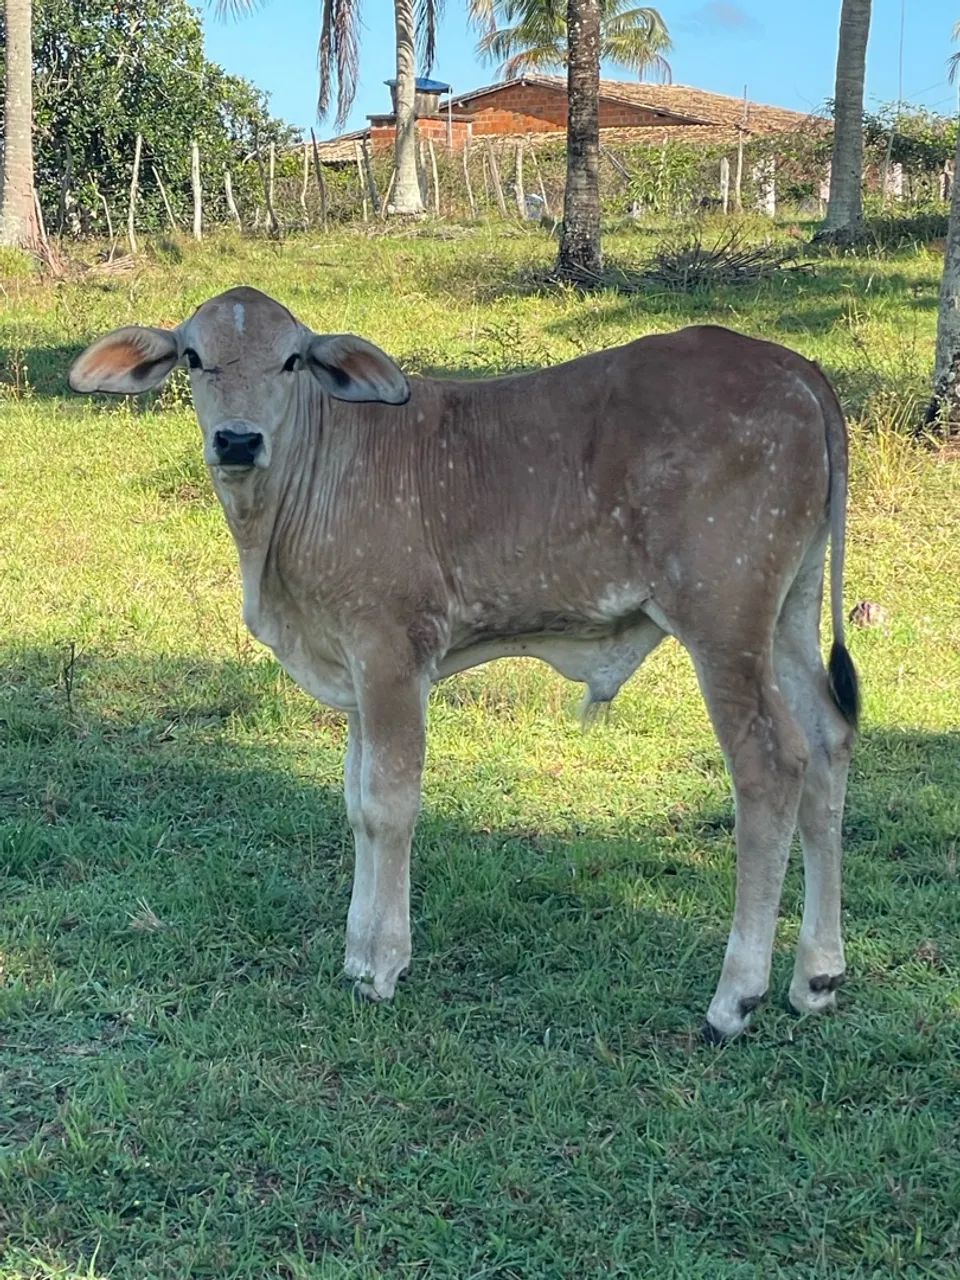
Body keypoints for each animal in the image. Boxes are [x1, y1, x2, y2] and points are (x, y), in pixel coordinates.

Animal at [69, 287, 859, 1042]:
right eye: (194, 357)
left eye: (291, 361)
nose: (237, 440)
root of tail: (796, 368)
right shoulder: (355, 670)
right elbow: (356, 803)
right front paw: (355, 951)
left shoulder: (390, 651)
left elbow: (389, 804)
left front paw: (383, 964)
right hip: (789, 611)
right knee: (827, 742)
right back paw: (817, 977)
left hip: (723, 619)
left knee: (771, 766)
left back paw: (736, 998)